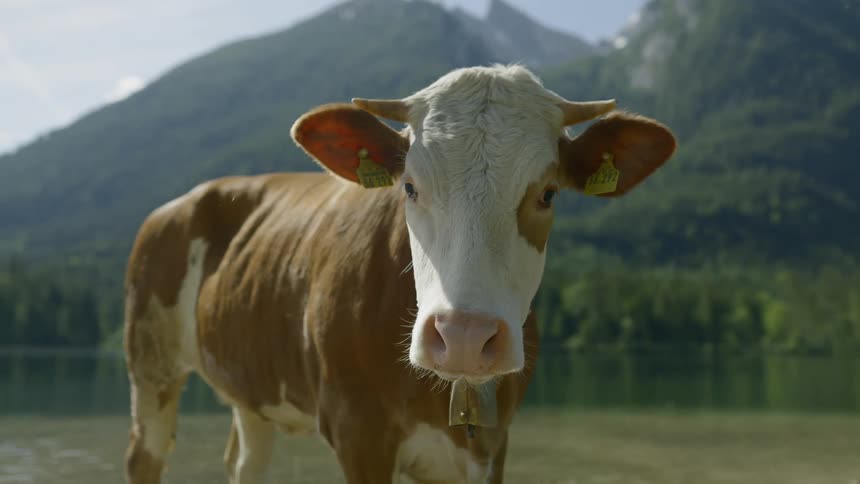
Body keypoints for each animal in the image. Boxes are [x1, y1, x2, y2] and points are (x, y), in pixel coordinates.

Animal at [123, 64, 676, 484]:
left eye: (548, 193)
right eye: (409, 186)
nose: (464, 337)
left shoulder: (492, 442)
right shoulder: (357, 432)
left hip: (250, 389)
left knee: (245, 462)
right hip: (151, 364)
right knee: (145, 455)